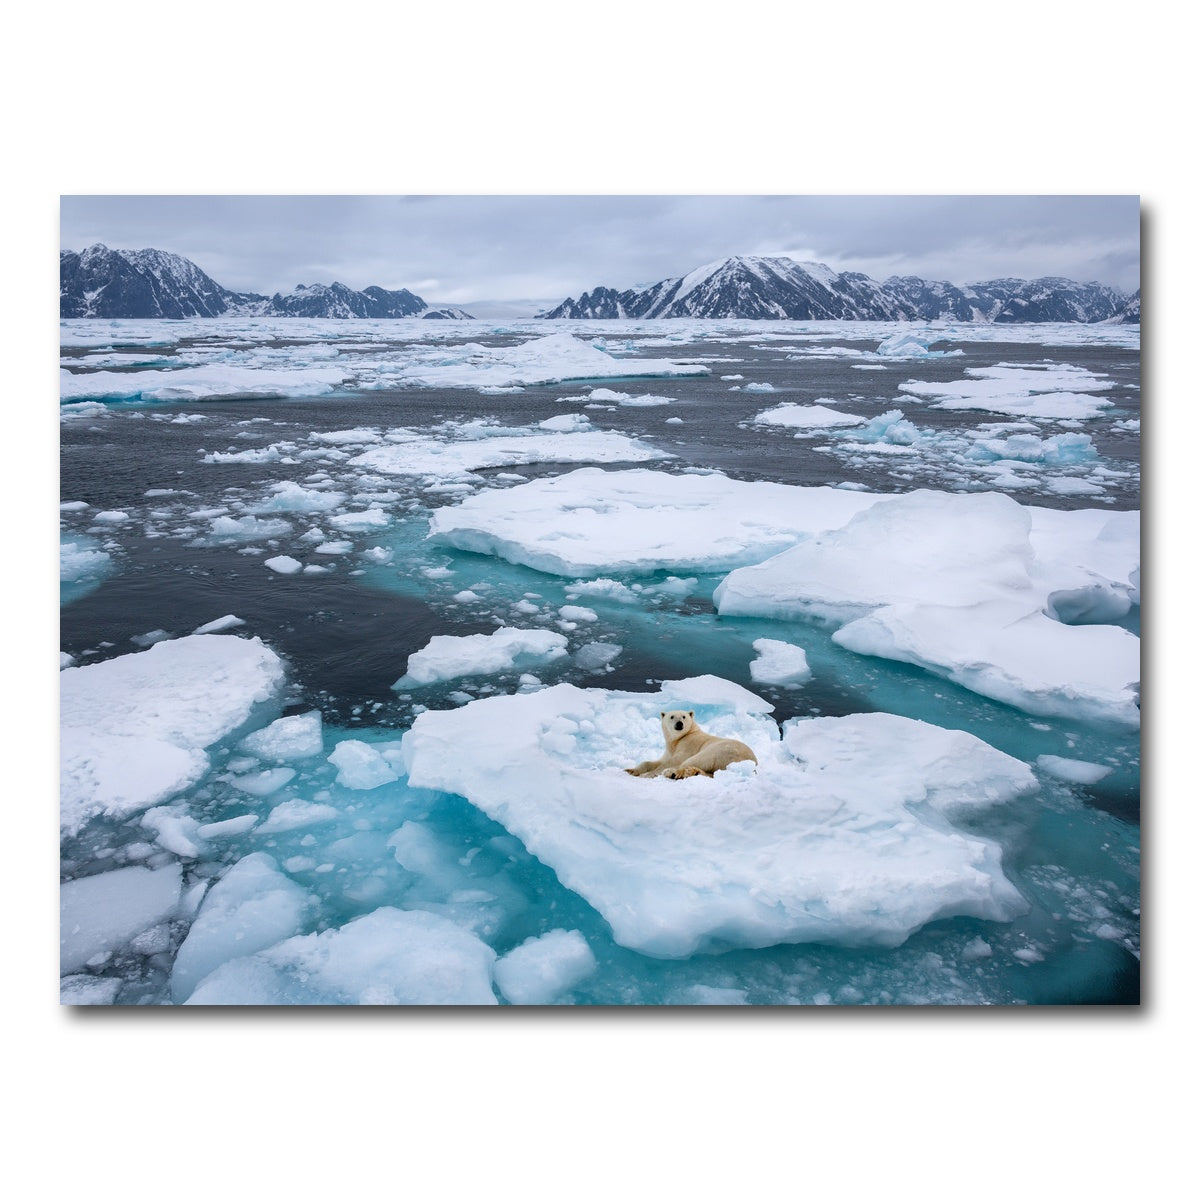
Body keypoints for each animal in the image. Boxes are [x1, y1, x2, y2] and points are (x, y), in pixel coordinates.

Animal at [625, 710, 758, 780]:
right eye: (672, 716)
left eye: (684, 716)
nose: (679, 723)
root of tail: (752, 763)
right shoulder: (669, 750)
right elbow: (656, 761)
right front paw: (630, 770)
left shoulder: (689, 744)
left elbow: (674, 760)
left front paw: (645, 775)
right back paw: (694, 772)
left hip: (719, 750)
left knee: (695, 760)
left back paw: (672, 772)